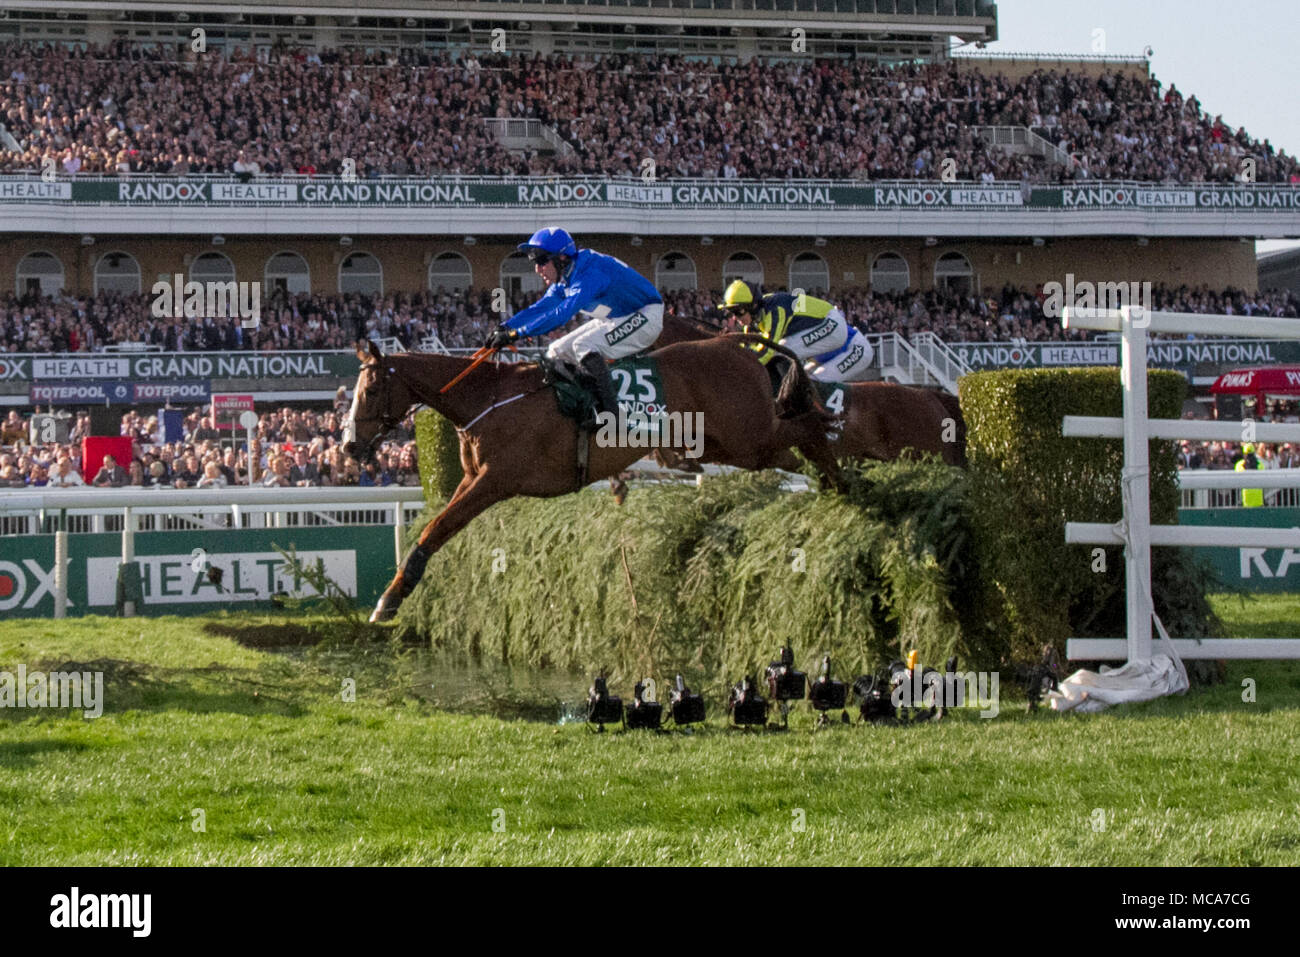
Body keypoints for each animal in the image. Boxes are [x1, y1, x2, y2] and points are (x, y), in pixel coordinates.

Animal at [343, 335, 832, 621]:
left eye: (371, 389)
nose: (349, 446)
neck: (488, 396)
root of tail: (733, 344)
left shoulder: (494, 482)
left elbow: (436, 527)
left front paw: (390, 599)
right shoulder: (472, 479)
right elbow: (436, 525)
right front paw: (394, 592)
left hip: (750, 435)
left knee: (806, 430)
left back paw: (842, 472)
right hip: (727, 444)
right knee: (795, 446)